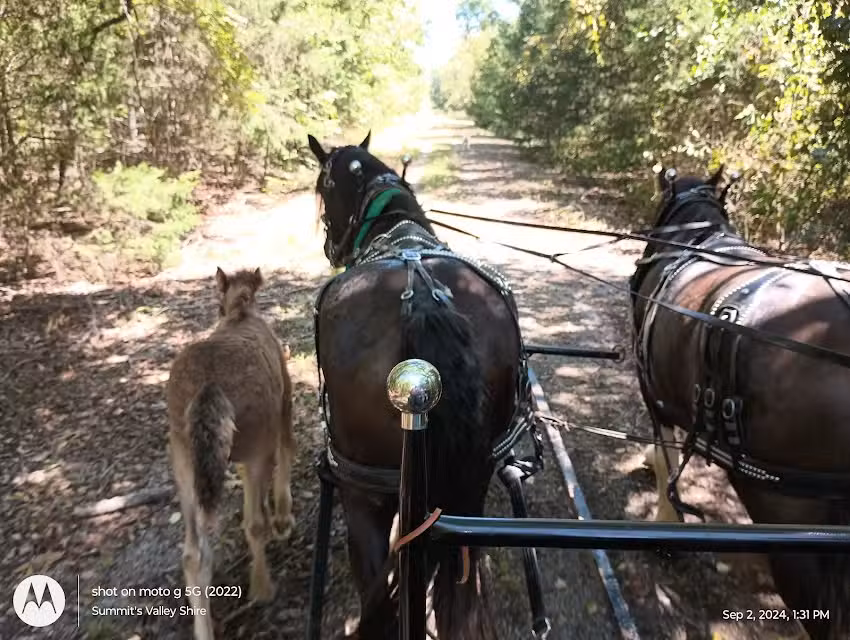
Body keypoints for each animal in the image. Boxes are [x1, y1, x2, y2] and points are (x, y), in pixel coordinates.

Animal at [166, 267, 295, 640]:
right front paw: (283, 519)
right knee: (254, 523)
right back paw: (263, 588)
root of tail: (209, 388)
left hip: (184, 465)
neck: (240, 312)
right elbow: (287, 452)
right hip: (255, 450)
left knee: (193, 555)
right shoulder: (282, 410)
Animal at [307, 131, 525, 639]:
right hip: (468, 487)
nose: (329, 246)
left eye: (321, 188)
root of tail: (422, 296)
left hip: (363, 493)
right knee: (458, 594)